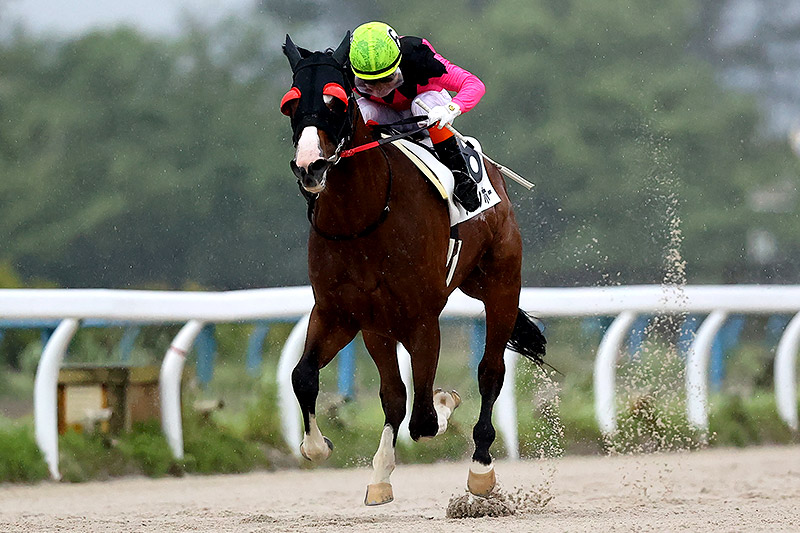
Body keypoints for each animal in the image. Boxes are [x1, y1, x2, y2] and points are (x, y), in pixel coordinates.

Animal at [278, 33, 548, 502]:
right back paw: (381, 473)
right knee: (393, 394)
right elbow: (305, 376)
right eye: (291, 104)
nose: (310, 166)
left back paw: (481, 466)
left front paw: (446, 401)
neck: (364, 219)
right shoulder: (343, 314)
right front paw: (320, 446)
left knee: (490, 372)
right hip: (397, 319)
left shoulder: (422, 319)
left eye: (336, 101)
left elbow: (425, 415)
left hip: (501, 283)